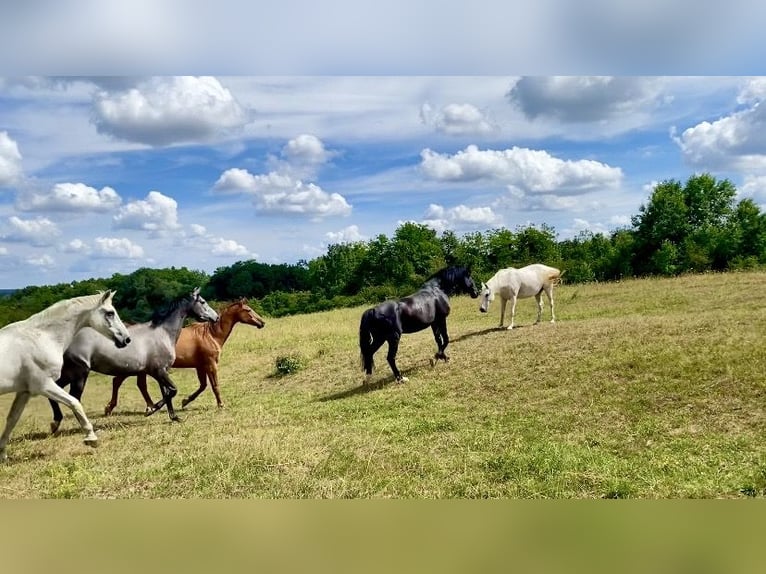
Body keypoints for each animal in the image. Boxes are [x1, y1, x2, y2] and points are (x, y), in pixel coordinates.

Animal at [0, 291, 131, 461]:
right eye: (110, 313)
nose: (126, 339)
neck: (42, 338)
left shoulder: (24, 392)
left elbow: (12, 420)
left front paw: (3, 454)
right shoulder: (43, 385)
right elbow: (75, 402)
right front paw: (91, 438)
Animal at [48, 287, 219, 433]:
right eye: (202, 302)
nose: (216, 317)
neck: (162, 334)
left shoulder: (160, 373)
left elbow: (167, 393)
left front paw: (174, 417)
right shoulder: (159, 371)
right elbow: (172, 391)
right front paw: (151, 410)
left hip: (69, 374)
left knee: (56, 393)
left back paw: (55, 423)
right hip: (79, 374)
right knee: (73, 398)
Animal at [103, 298, 265, 415]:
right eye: (248, 310)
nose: (262, 322)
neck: (211, 334)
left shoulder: (200, 366)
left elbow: (203, 386)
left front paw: (185, 401)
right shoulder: (211, 364)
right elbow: (214, 386)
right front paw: (221, 404)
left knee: (127, 383)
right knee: (125, 382)